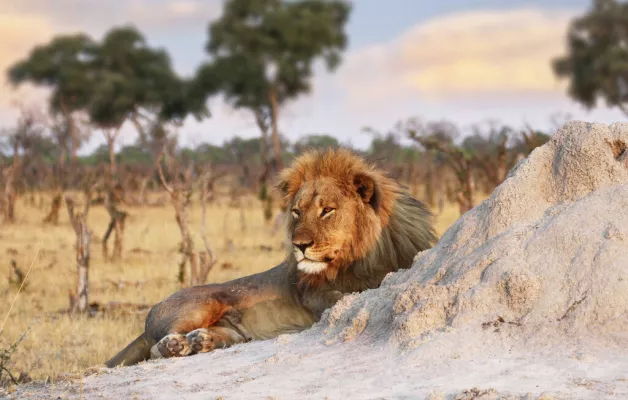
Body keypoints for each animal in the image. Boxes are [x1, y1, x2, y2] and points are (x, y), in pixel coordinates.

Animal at [104, 148, 436, 368]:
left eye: (327, 210)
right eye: (297, 212)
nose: (299, 245)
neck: (358, 258)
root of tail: (154, 308)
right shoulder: (312, 294)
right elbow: (344, 299)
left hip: (229, 328)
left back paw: (203, 341)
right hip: (198, 305)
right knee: (153, 349)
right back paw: (176, 344)